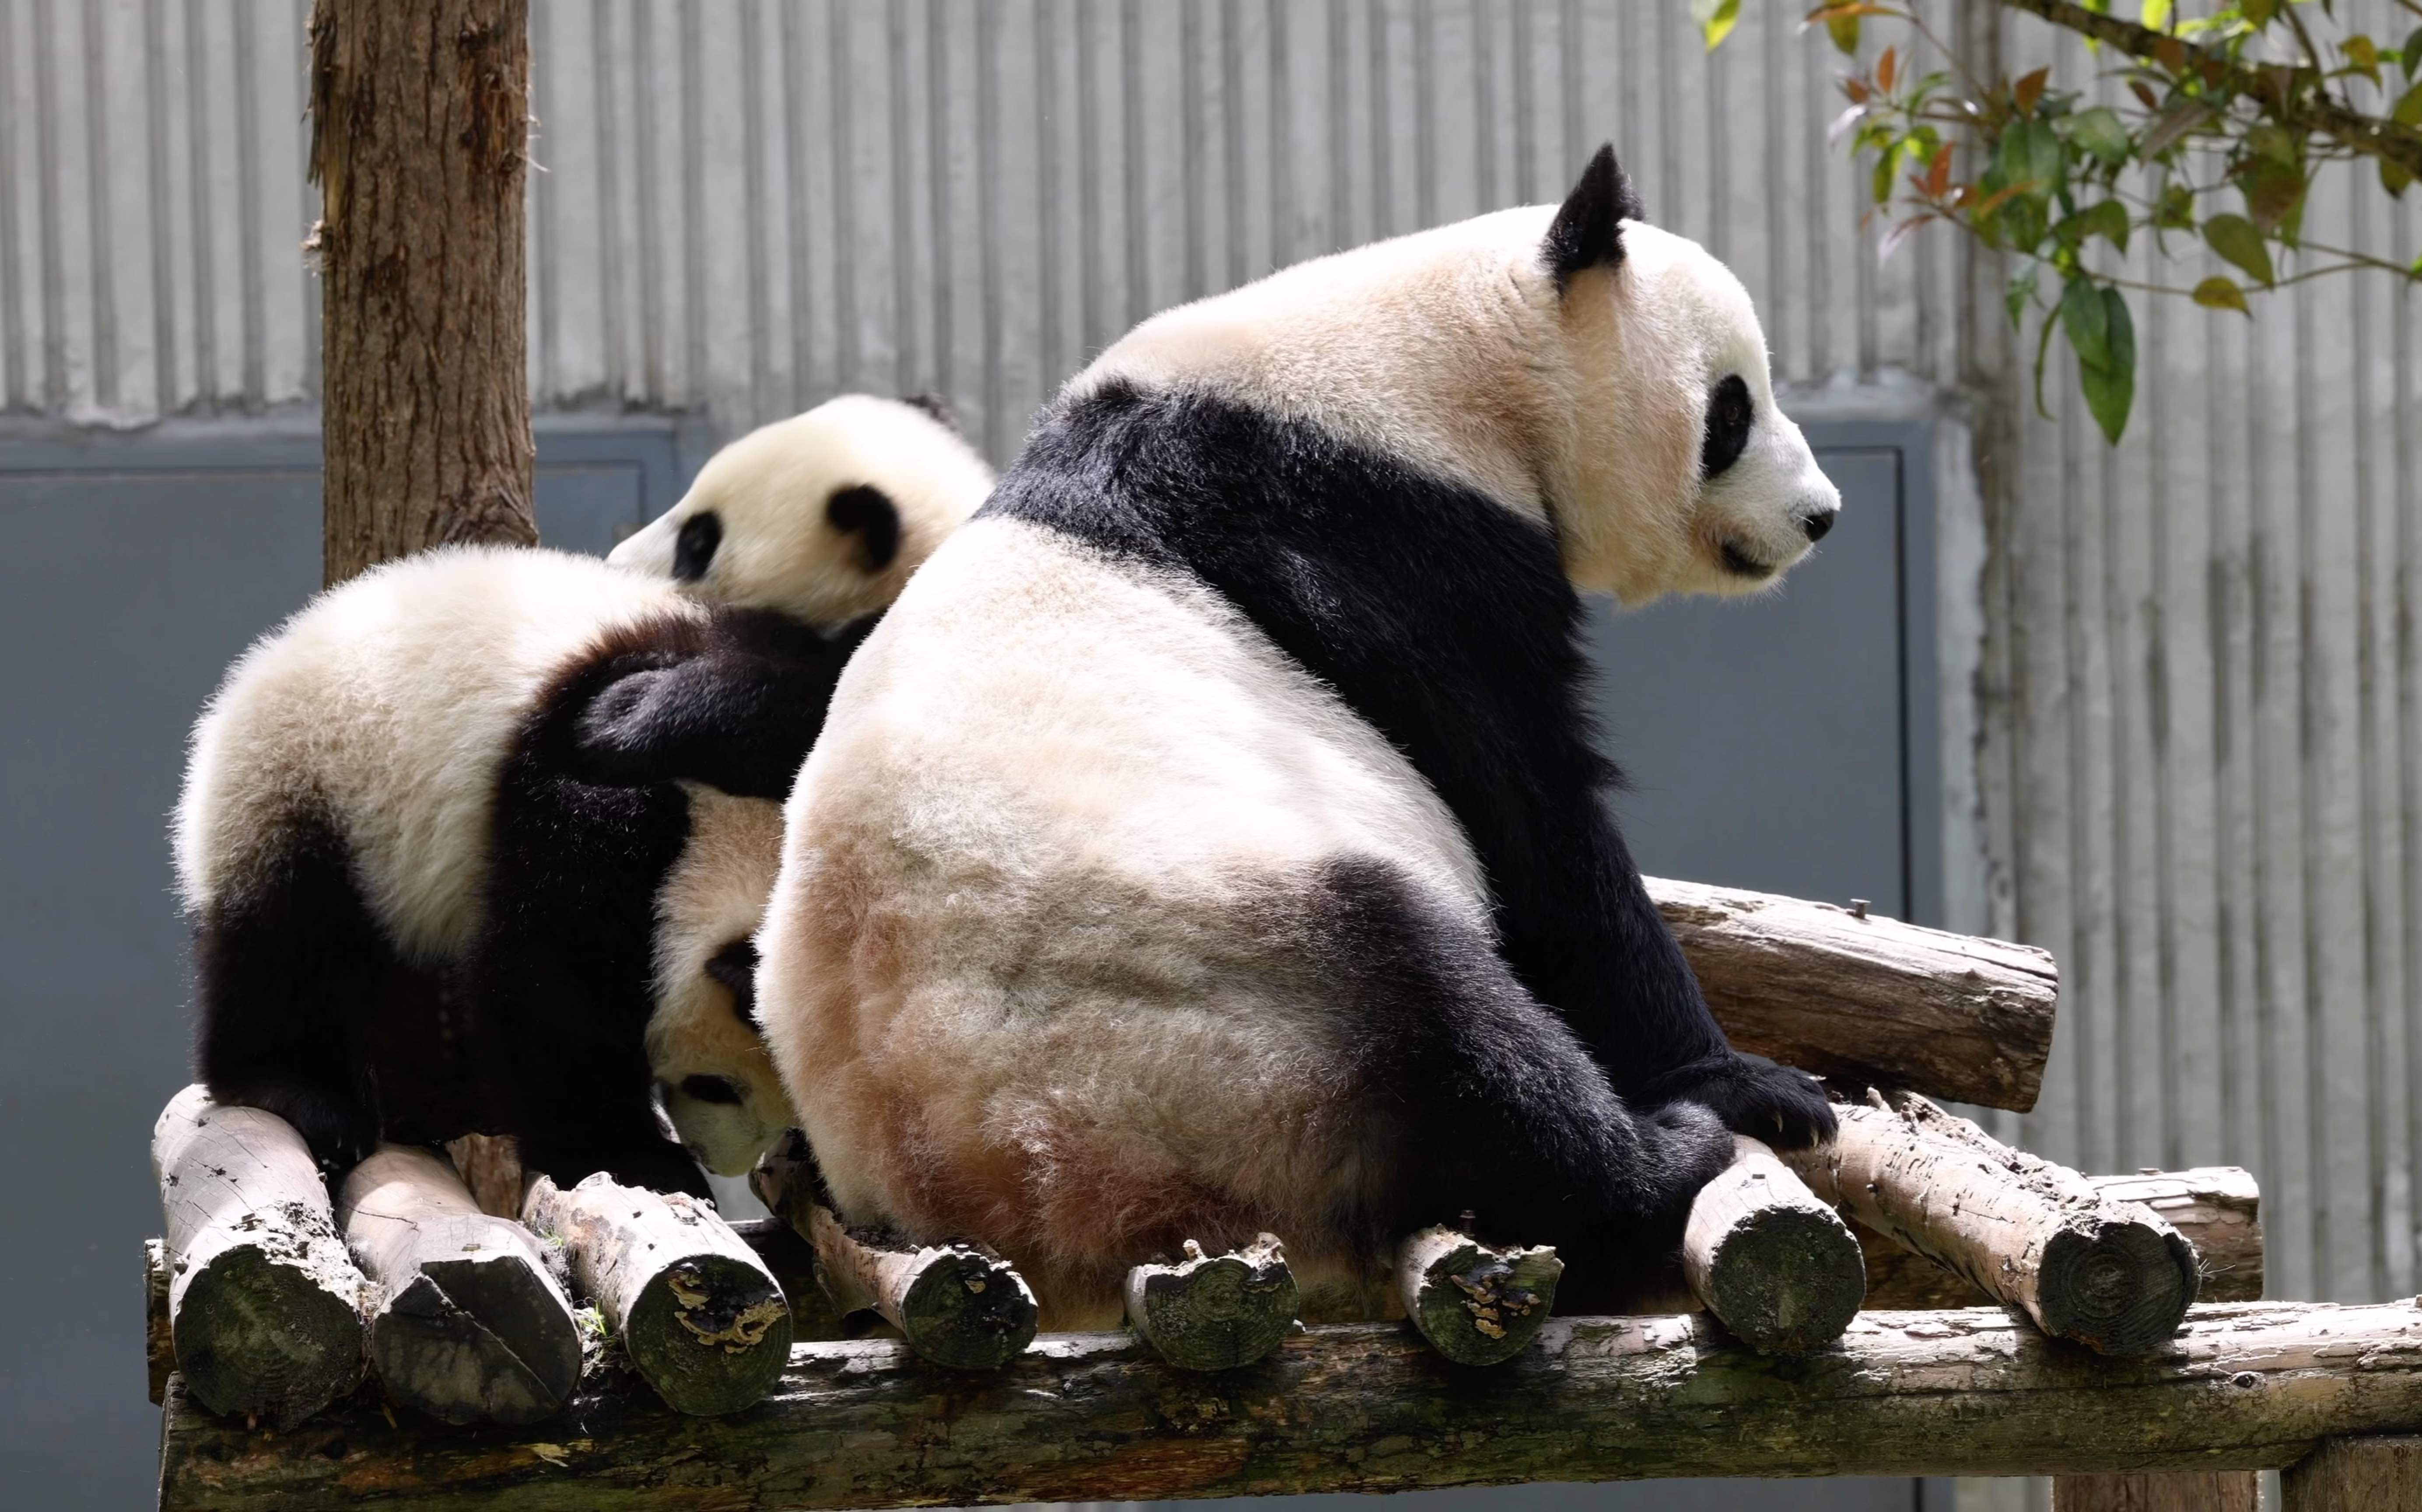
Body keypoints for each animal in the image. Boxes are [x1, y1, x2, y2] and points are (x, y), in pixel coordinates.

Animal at [765, 147, 1840, 1318]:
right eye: (1732, 408)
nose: (1819, 516)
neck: (1441, 368)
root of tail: (1001, 1188)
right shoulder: (1386, 546)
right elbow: (1536, 825)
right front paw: (1754, 1087)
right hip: (1216, 1001)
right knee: (1448, 1031)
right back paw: (1658, 1158)